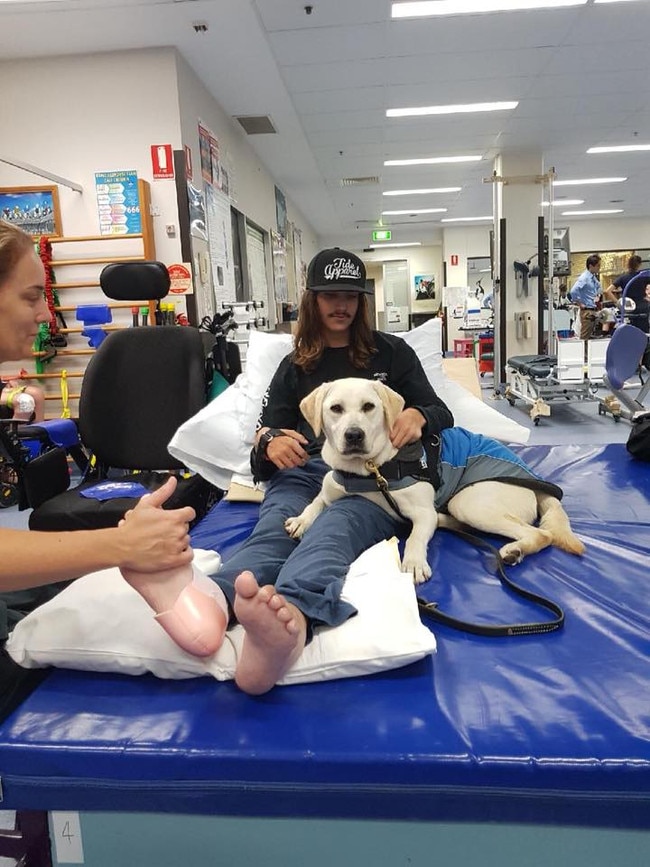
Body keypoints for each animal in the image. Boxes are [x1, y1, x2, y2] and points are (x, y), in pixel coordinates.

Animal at [284, 378, 584, 584]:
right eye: (335, 408)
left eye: (368, 407)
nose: (354, 435)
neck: (369, 469)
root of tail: (536, 487)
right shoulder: (331, 486)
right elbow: (316, 501)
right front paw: (301, 519)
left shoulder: (422, 511)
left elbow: (416, 536)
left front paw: (414, 562)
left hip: (469, 502)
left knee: (541, 534)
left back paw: (514, 550)